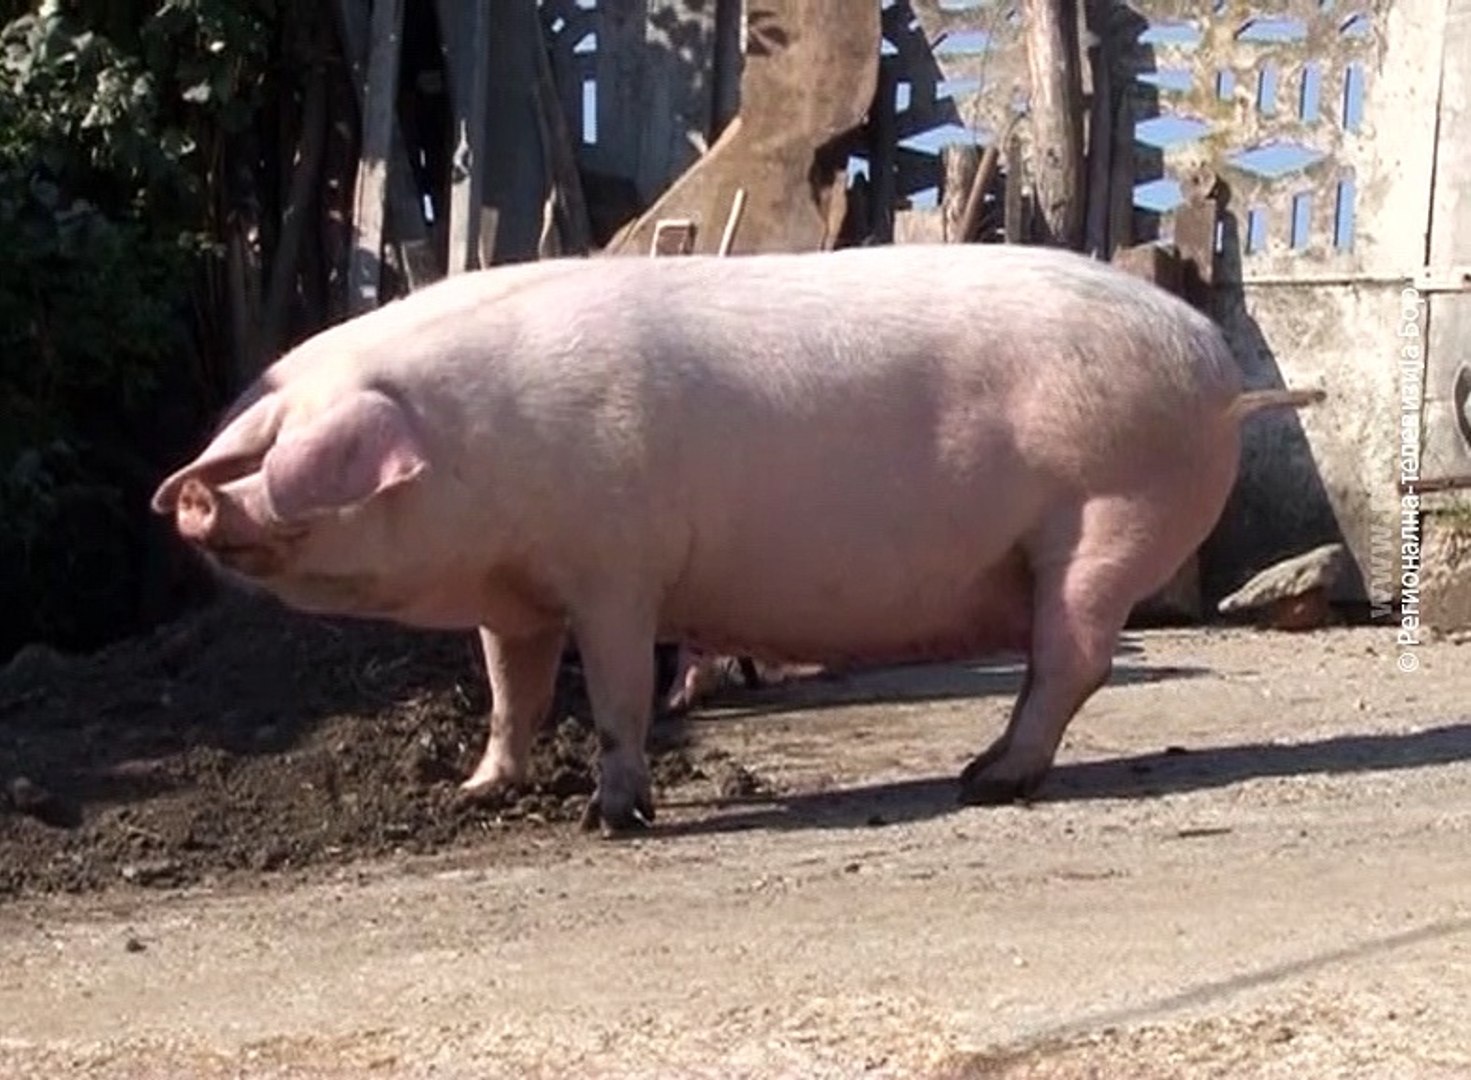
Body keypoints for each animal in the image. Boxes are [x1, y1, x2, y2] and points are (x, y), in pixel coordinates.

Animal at [149, 242, 1323, 835]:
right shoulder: (516, 597)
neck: (479, 448)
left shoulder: (618, 567)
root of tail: (1220, 371)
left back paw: (985, 781)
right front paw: (478, 791)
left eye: (291, 457)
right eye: (252, 436)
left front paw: (611, 818)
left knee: (1068, 658)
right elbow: (508, 691)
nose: (192, 499)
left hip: (1103, 517)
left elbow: (618, 692)